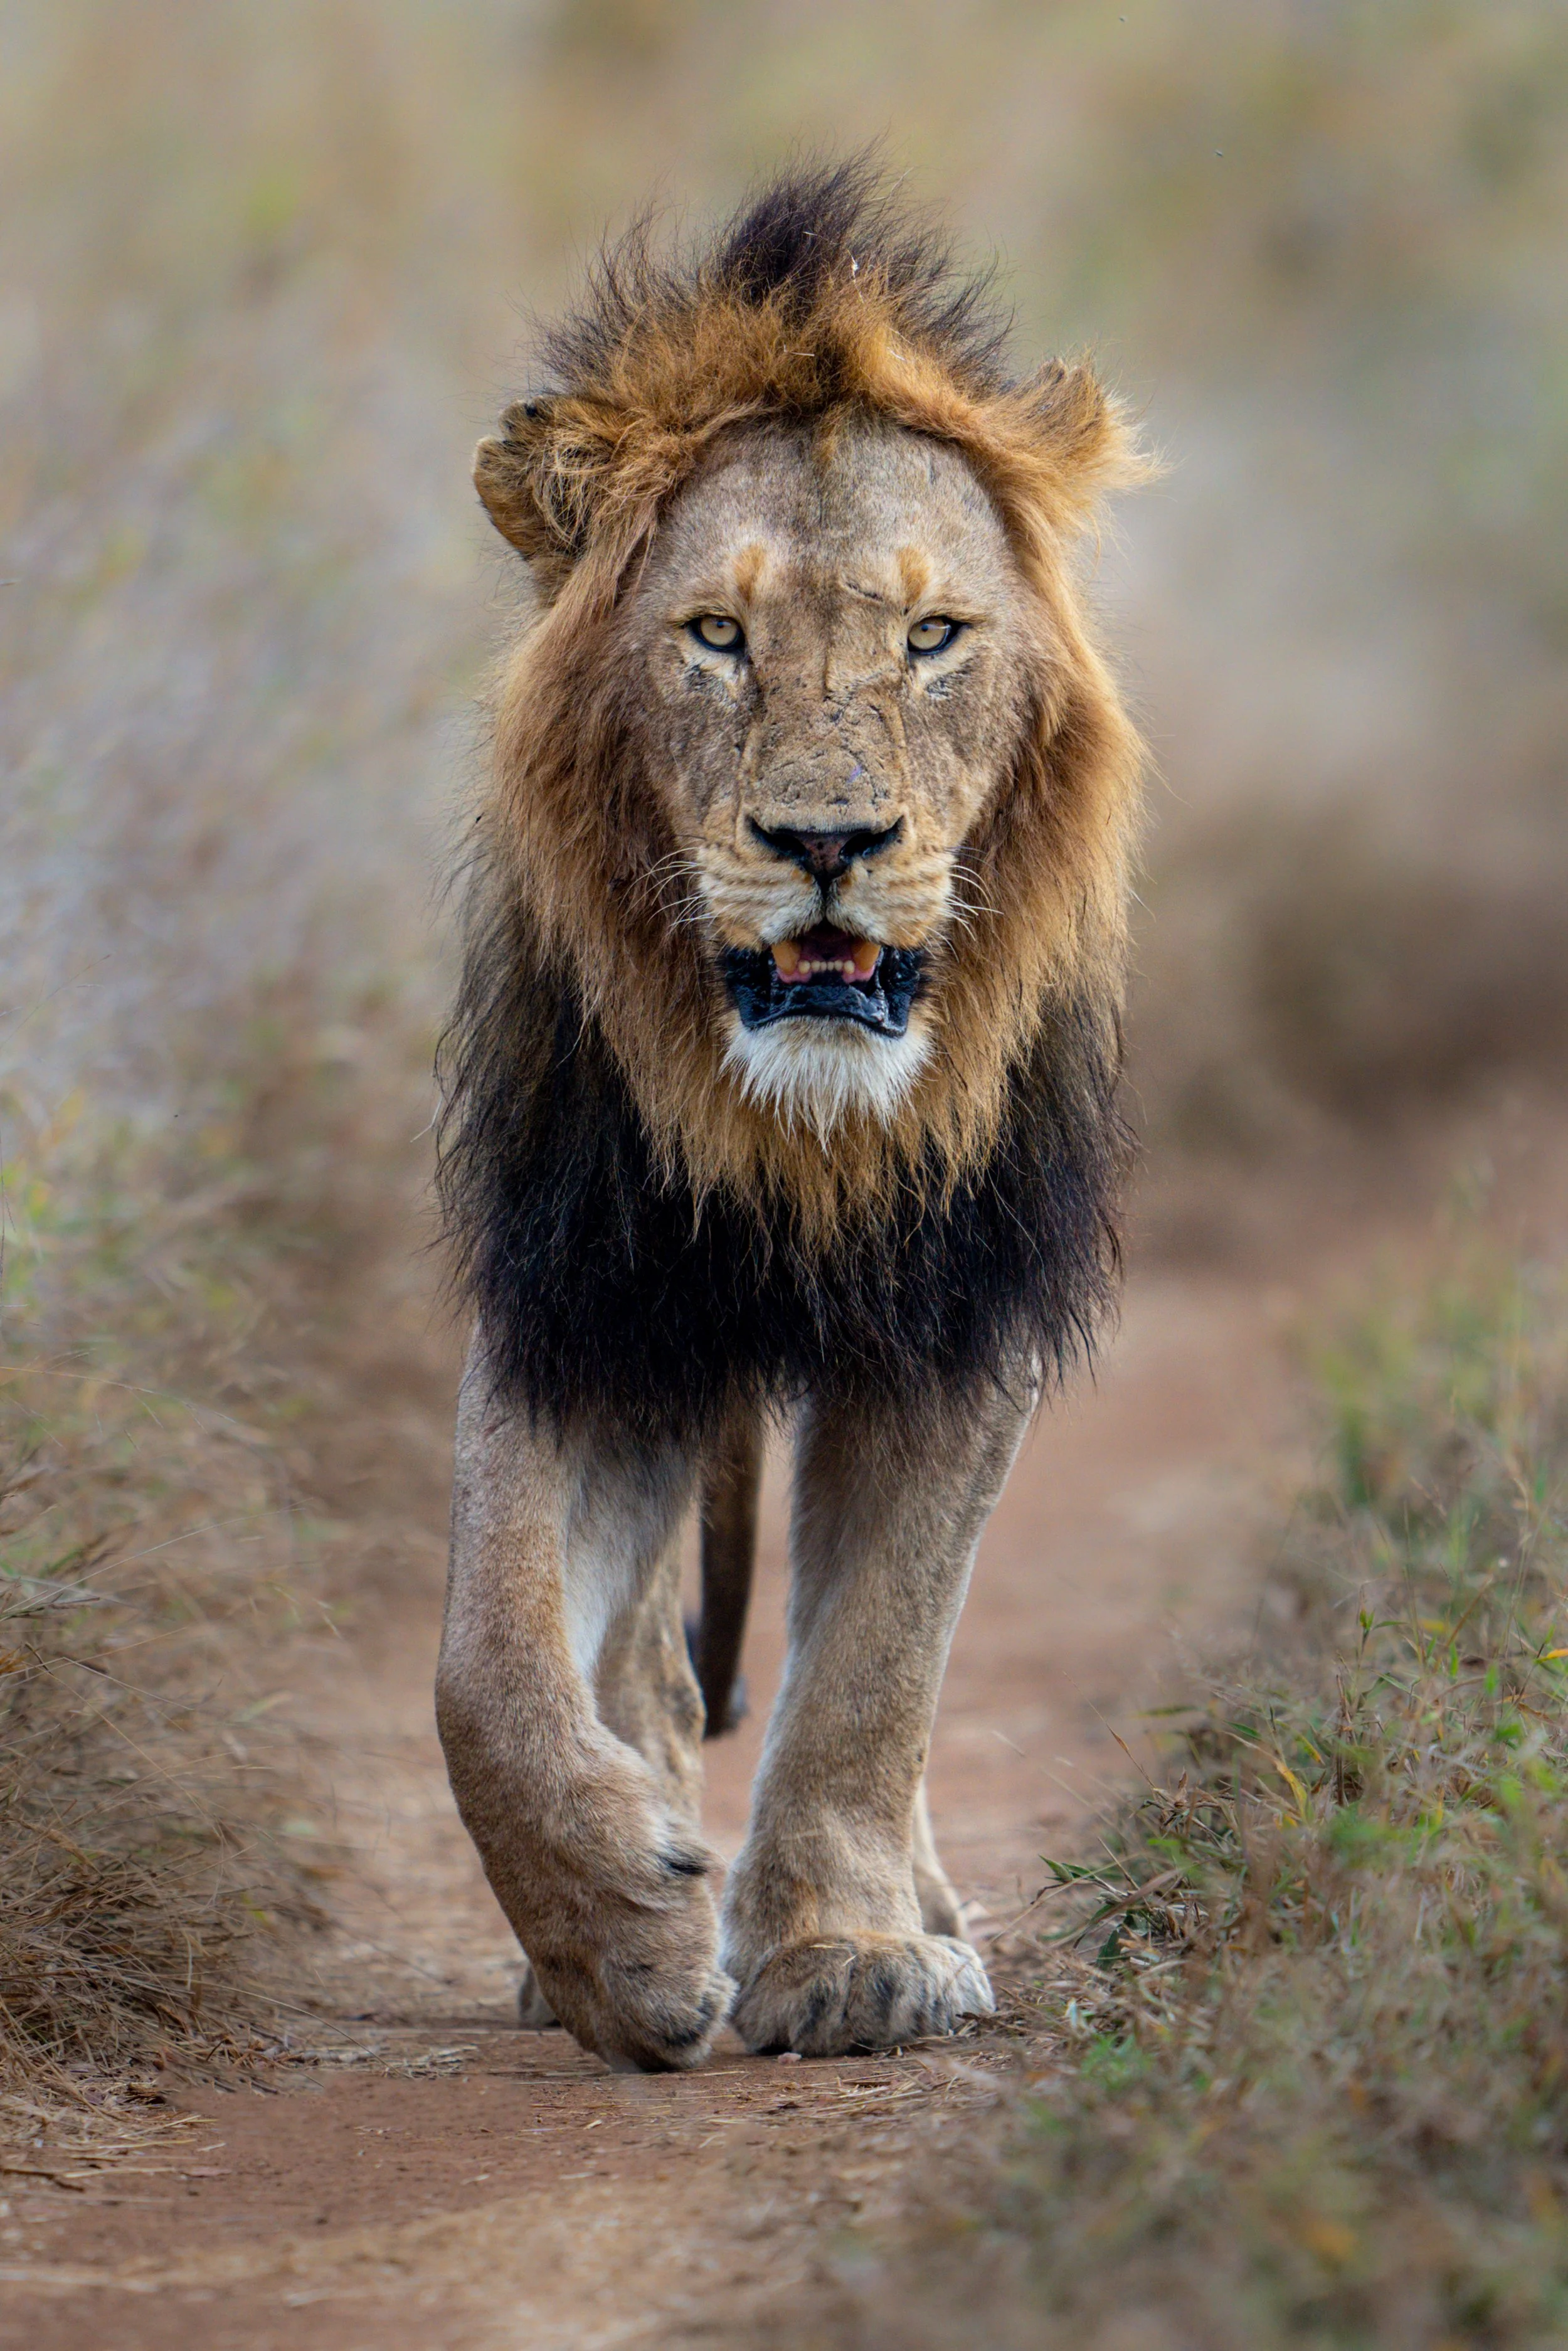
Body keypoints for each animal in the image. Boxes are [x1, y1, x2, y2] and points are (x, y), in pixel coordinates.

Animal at [435, 162, 1144, 2070]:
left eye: (931, 636)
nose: (825, 843)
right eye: (715, 636)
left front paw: (845, 1951)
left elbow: (878, 1666)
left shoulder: (958, 1302)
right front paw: (619, 1936)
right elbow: (487, 1670)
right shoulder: (587, 1298)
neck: (797, 1131)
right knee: (635, 1662)